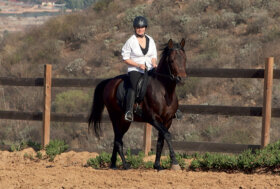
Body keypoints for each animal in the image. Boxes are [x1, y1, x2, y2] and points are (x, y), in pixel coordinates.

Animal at [88, 38, 187, 170]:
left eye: (185, 59)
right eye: (171, 60)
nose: (182, 79)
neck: (164, 91)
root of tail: (110, 81)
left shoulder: (168, 120)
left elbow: (161, 140)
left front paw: (157, 165)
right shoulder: (153, 119)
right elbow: (168, 135)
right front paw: (175, 163)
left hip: (124, 121)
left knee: (117, 138)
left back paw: (113, 164)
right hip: (116, 117)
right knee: (118, 140)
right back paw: (125, 165)